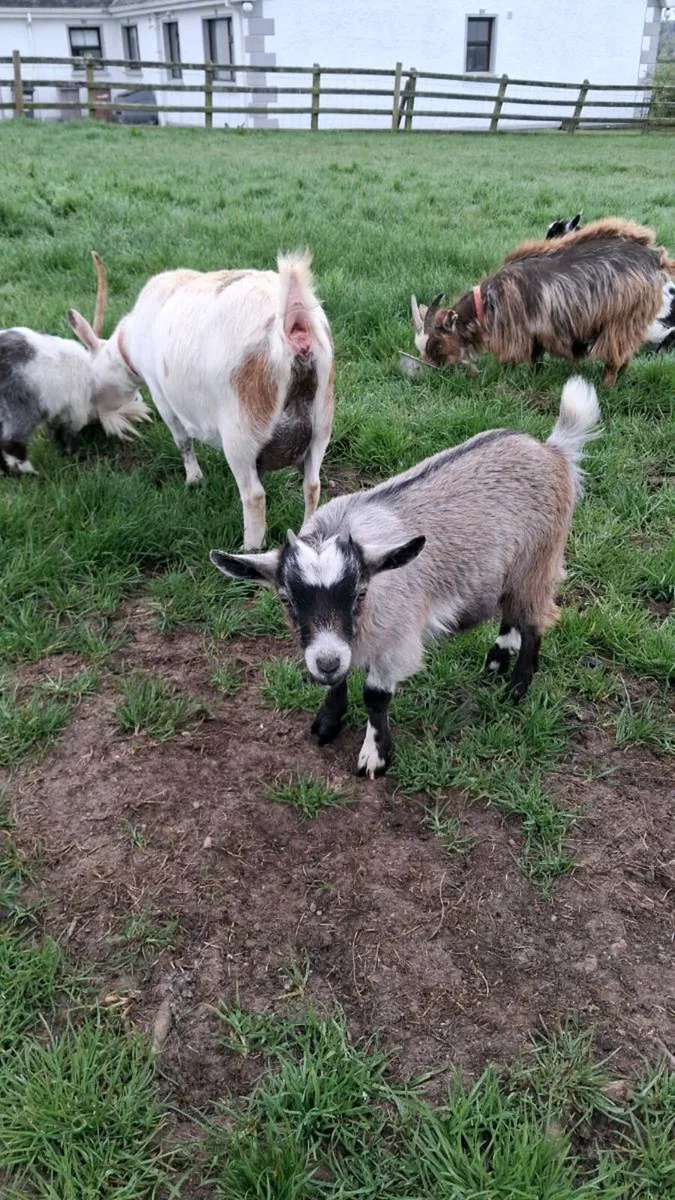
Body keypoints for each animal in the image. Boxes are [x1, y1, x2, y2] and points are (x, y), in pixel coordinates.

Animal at [0, 252, 150, 475]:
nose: (139, 400)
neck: (93, 377)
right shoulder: (75, 411)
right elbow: (70, 434)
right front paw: (72, 454)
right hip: (20, 413)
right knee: (12, 445)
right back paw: (33, 474)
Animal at [115, 251, 334, 550]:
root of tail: (294, 323)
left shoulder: (161, 396)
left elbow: (182, 441)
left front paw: (194, 480)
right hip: (321, 425)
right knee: (312, 485)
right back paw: (305, 536)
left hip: (242, 431)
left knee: (254, 496)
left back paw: (248, 549)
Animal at [211, 377, 600, 778]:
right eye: (286, 598)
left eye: (359, 593)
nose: (327, 662)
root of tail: (552, 450)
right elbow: (337, 682)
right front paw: (327, 723)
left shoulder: (395, 638)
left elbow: (375, 695)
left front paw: (375, 756)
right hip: (511, 567)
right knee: (511, 612)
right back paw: (496, 662)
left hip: (539, 560)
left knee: (534, 621)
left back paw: (516, 689)